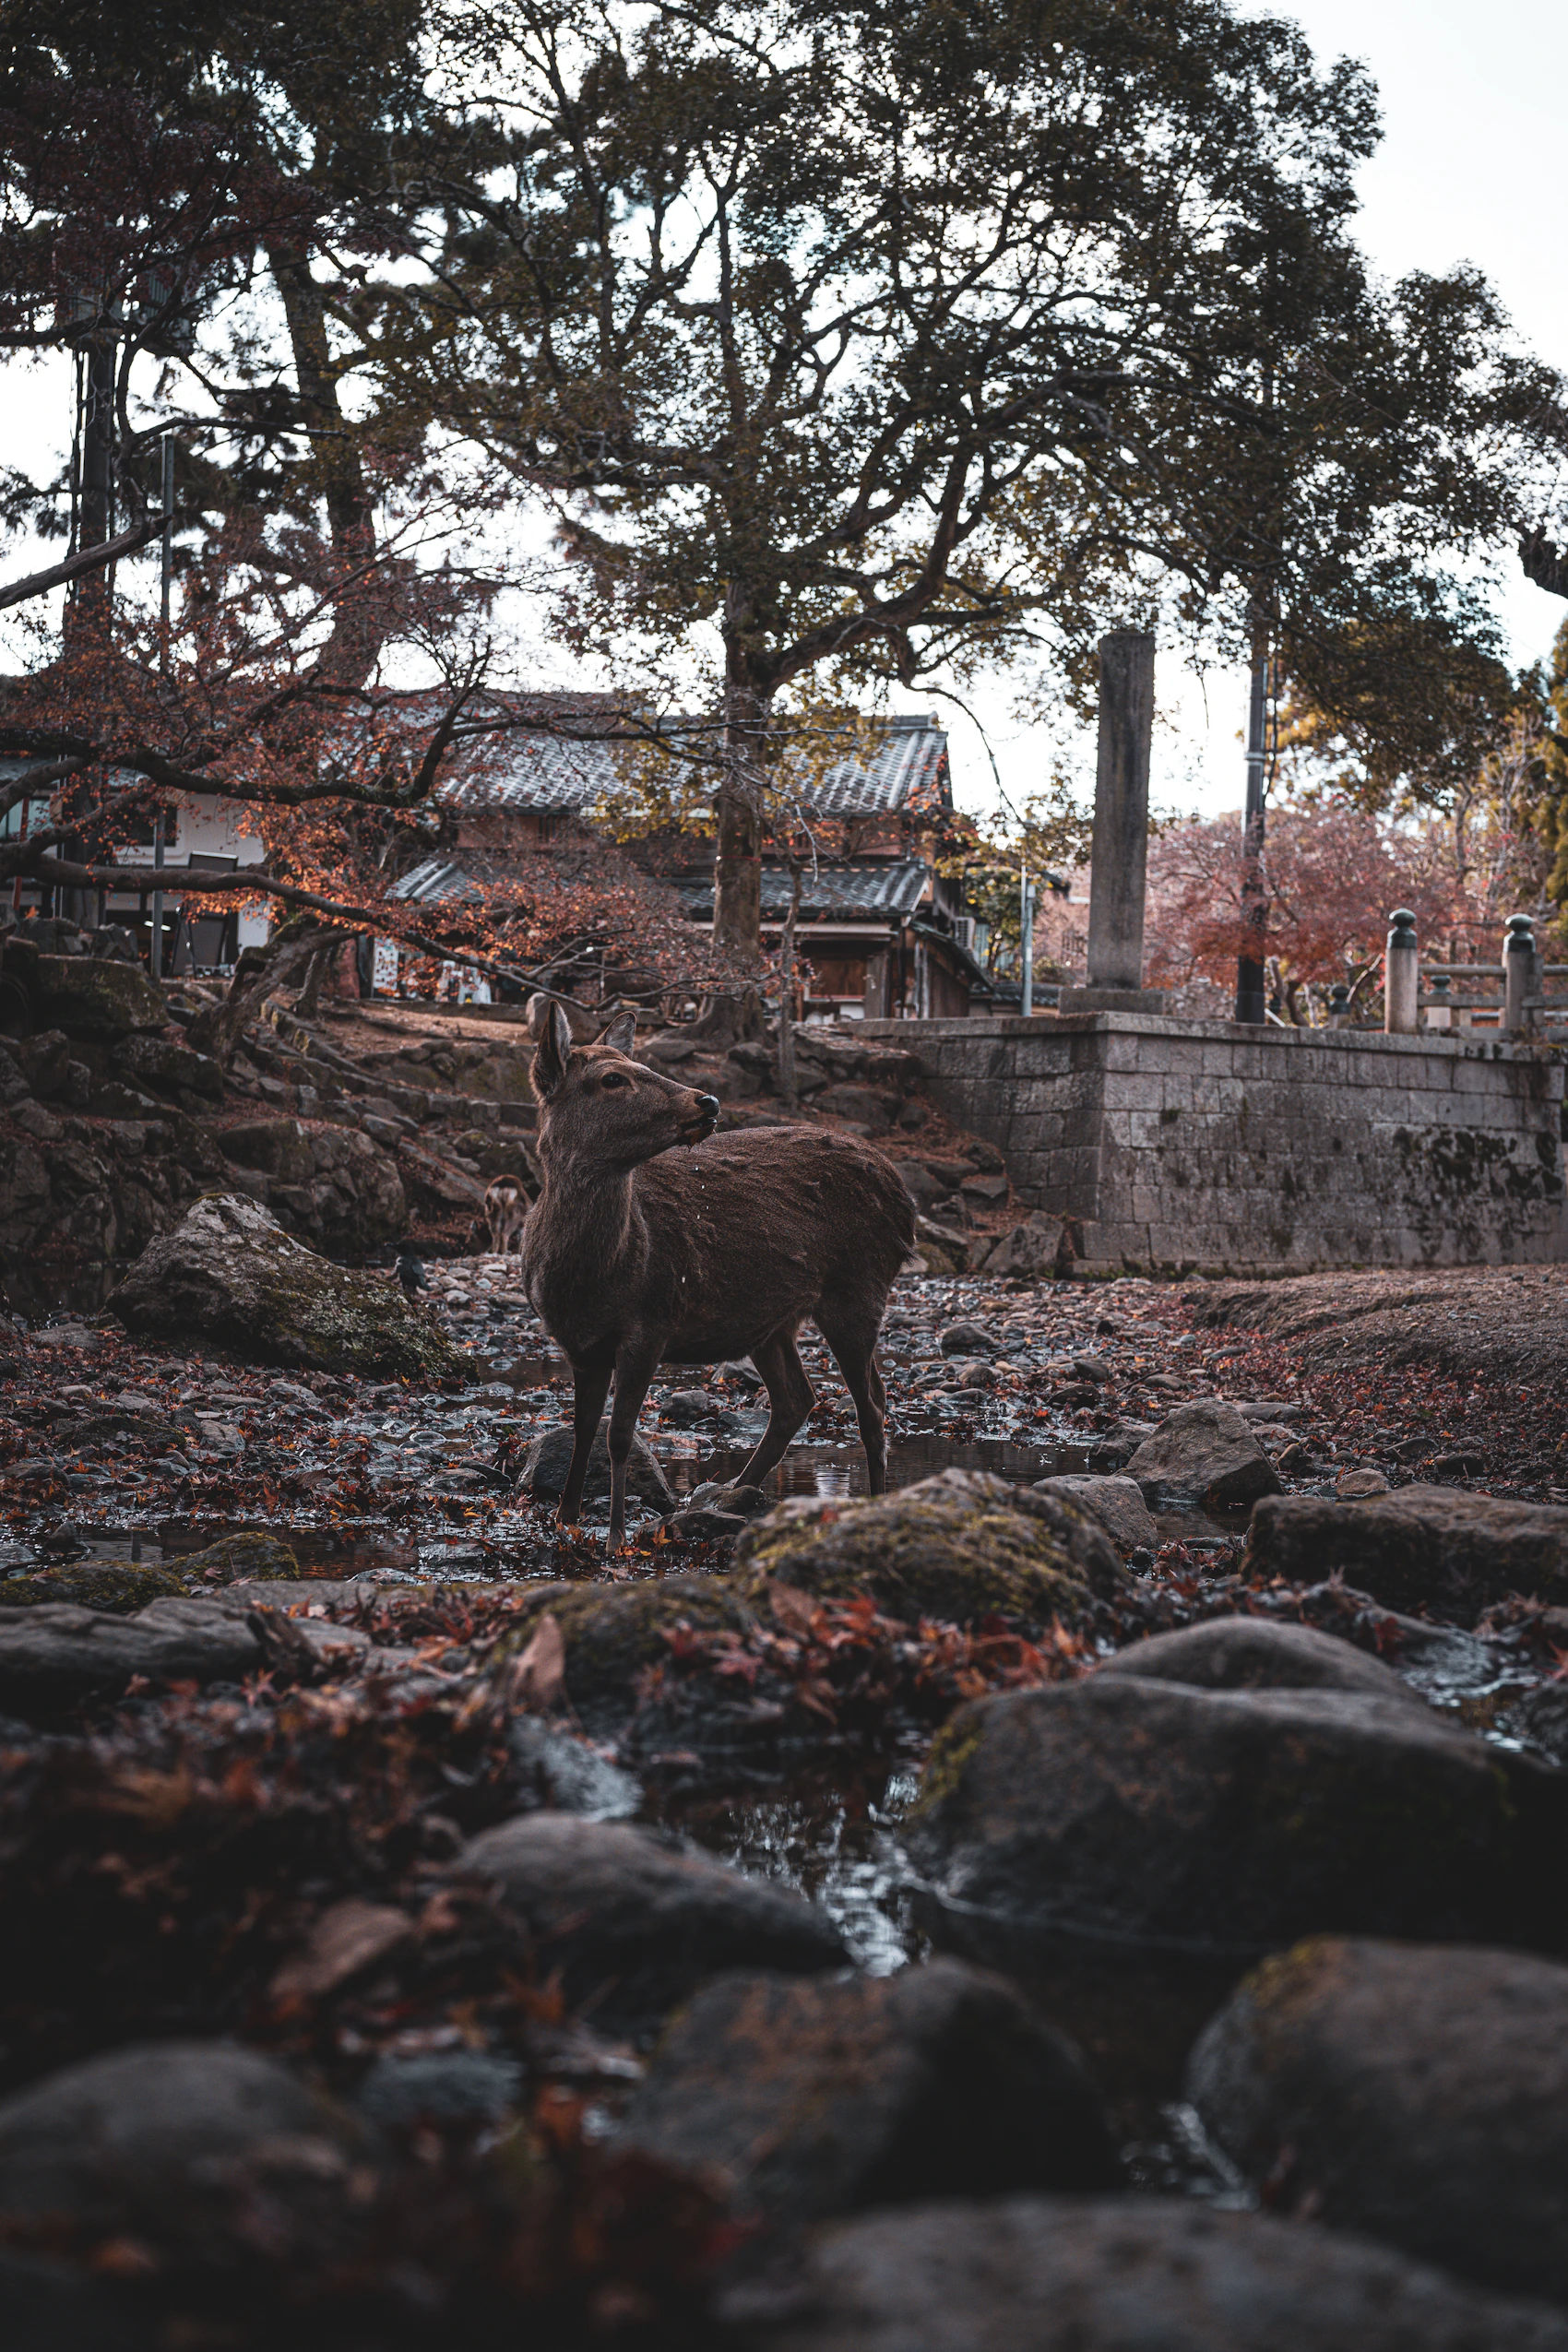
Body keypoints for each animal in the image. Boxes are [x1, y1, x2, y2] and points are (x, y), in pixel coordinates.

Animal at [522, 1004, 916, 1548]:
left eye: (638, 1064)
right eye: (612, 1078)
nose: (706, 1099)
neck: (590, 1280)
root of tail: (905, 1199)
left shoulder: (652, 1322)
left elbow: (619, 1435)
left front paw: (616, 1536)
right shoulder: (578, 1342)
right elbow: (583, 1429)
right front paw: (567, 1518)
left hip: (858, 1287)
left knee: (872, 1406)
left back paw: (874, 1502)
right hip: (772, 1321)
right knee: (798, 1398)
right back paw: (728, 1493)